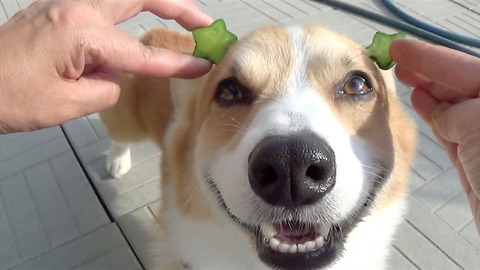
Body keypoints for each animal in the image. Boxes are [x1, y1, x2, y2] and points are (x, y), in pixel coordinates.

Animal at [100, 24, 416, 268]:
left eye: (357, 85)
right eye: (229, 91)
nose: (292, 163)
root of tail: (152, 34)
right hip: (124, 117)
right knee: (118, 136)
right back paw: (117, 161)